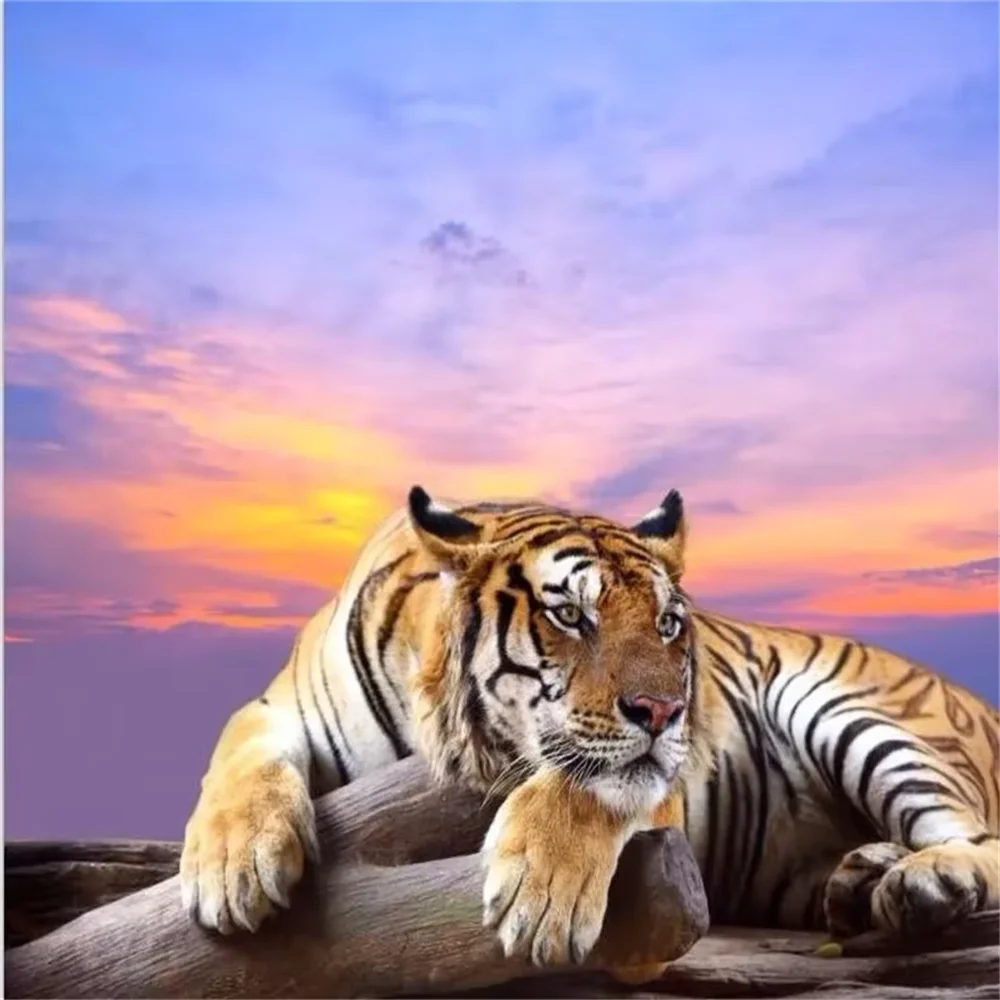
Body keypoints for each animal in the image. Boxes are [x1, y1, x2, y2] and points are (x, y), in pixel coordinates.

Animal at [180, 486, 1000, 968]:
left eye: (668, 623)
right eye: (572, 615)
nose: (666, 712)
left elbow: (590, 783)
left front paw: (540, 901)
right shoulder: (278, 706)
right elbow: (238, 755)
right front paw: (232, 870)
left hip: (850, 710)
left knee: (981, 842)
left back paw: (923, 882)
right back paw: (862, 881)